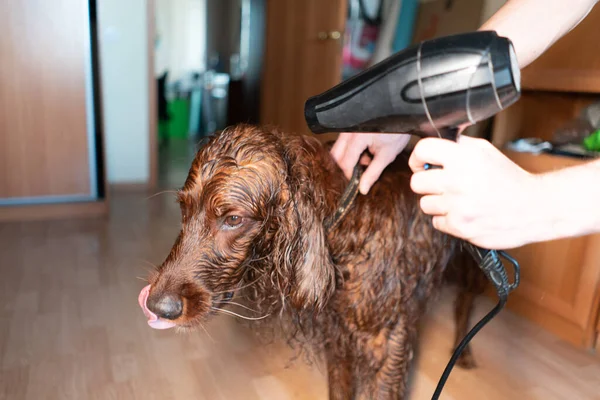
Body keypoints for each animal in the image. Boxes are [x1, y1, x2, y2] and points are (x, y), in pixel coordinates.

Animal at [138, 123, 486, 398]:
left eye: (233, 219)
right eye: (183, 209)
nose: (156, 306)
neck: (352, 218)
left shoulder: (388, 347)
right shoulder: (339, 340)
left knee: (465, 302)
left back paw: (465, 353)